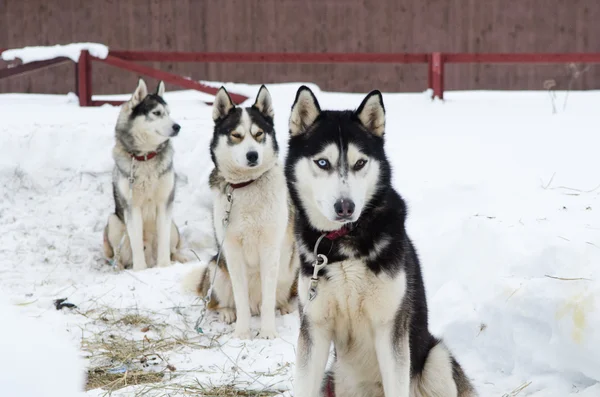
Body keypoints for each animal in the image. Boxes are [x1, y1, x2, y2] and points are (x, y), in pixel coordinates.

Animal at [103, 78, 184, 270]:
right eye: (157, 113)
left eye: (169, 113)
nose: (177, 126)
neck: (146, 157)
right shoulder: (132, 207)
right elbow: (136, 243)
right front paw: (140, 269)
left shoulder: (164, 203)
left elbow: (163, 242)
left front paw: (164, 266)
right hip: (114, 222)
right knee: (118, 254)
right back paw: (118, 268)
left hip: (173, 227)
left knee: (172, 248)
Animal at [185, 86, 300, 338]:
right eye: (236, 135)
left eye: (258, 134)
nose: (252, 155)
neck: (247, 185)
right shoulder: (232, 250)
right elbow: (240, 298)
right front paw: (242, 333)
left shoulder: (270, 249)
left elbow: (268, 300)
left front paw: (268, 332)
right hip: (216, 267)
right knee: (218, 302)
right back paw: (228, 313)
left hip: (291, 265)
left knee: (273, 299)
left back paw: (283, 307)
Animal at [286, 86, 478, 396]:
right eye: (323, 162)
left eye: (360, 163)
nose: (345, 207)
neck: (345, 242)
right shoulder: (314, 325)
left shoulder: (390, 328)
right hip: (333, 378)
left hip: (437, 360)